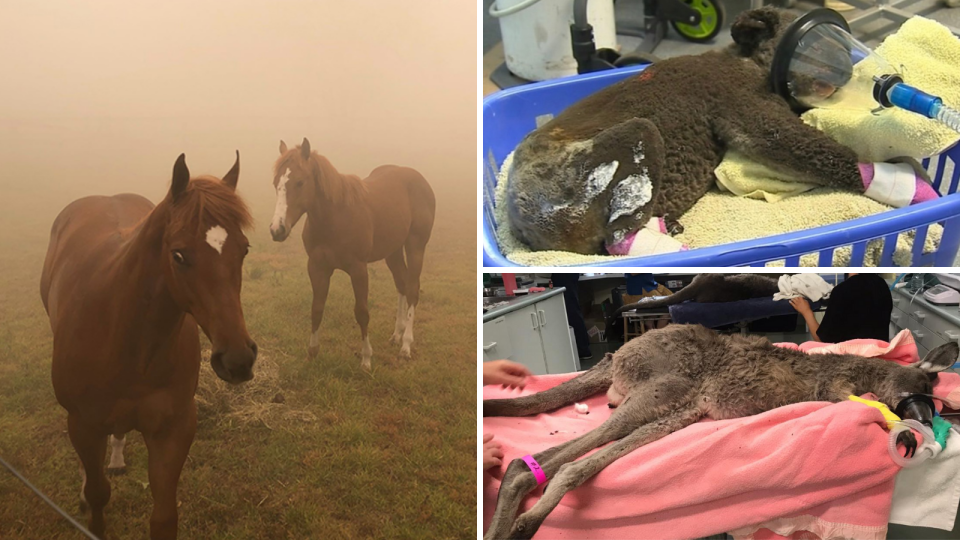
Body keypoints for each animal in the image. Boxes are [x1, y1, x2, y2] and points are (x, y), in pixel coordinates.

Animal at [40, 152, 258, 540]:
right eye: (178, 255)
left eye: (244, 249)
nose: (238, 359)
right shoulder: (83, 425)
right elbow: (98, 494)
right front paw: (88, 499)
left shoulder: (173, 429)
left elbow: (164, 516)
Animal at [270, 137, 436, 370]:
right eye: (275, 183)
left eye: (300, 182)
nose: (277, 229)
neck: (336, 217)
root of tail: (420, 180)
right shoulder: (317, 267)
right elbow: (316, 308)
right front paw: (312, 352)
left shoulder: (358, 269)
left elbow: (362, 312)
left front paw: (366, 358)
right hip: (393, 251)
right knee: (401, 283)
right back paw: (396, 334)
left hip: (416, 245)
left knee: (412, 289)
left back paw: (405, 345)